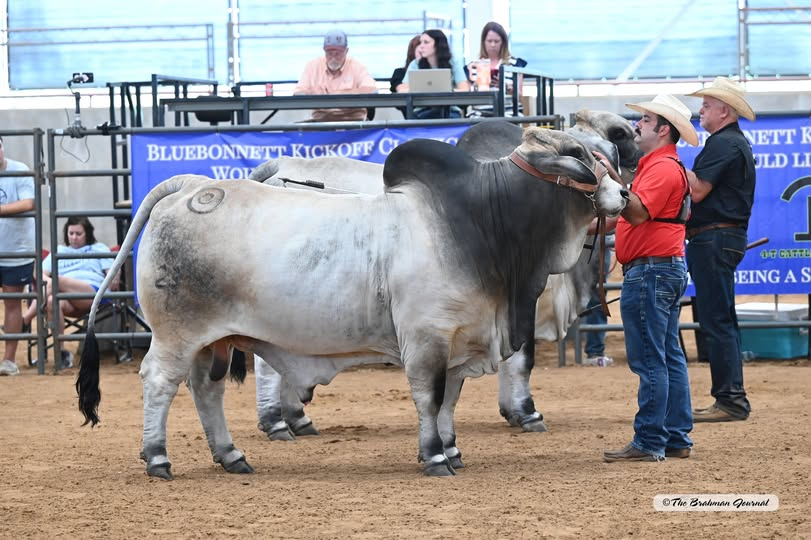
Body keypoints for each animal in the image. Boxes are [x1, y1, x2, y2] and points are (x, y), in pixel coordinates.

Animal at [77, 128, 627, 479]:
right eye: (579, 153)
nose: (623, 195)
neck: (483, 223)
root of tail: (192, 187)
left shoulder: (460, 340)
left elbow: (449, 401)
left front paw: (452, 450)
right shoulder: (426, 339)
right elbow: (429, 399)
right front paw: (434, 457)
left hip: (217, 339)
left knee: (205, 390)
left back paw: (231, 455)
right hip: (176, 334)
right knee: (159, 383)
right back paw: (157, 458)